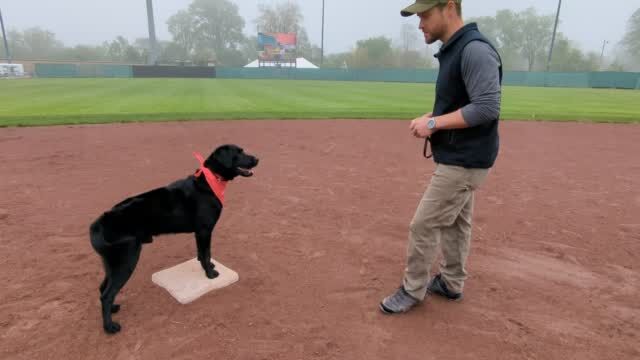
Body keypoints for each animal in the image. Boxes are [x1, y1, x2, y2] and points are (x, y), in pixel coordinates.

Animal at [89, 144, 258, 334]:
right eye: (238, 153)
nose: (257, 159)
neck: (209, 182)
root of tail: (100, 222)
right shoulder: (205, 230)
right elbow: (206, 253)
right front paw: (210, 274)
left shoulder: (200, 233)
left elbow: (202, 254)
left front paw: (208, 267)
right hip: (127, 260)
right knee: (107, 294)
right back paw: (109, 326)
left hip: (111, 263)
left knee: (103, 288)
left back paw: (113, 309)